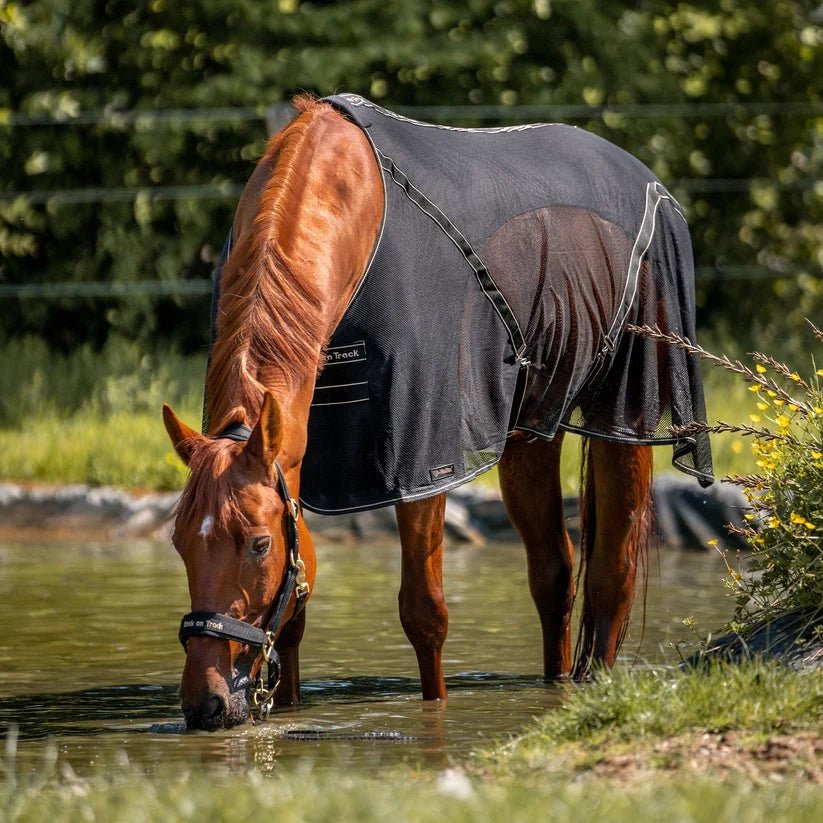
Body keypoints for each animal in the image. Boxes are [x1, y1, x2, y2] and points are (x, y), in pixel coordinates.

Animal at [163, 94, 712, 731]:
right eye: (179, 541)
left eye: (257, 544)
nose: (206, 704)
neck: (352, 213)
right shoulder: (295, 461)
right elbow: (296, 610)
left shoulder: (421, 461)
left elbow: (424, 613)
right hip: (530, 433)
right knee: (553, 574)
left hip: (623, 417)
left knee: (611, 574)